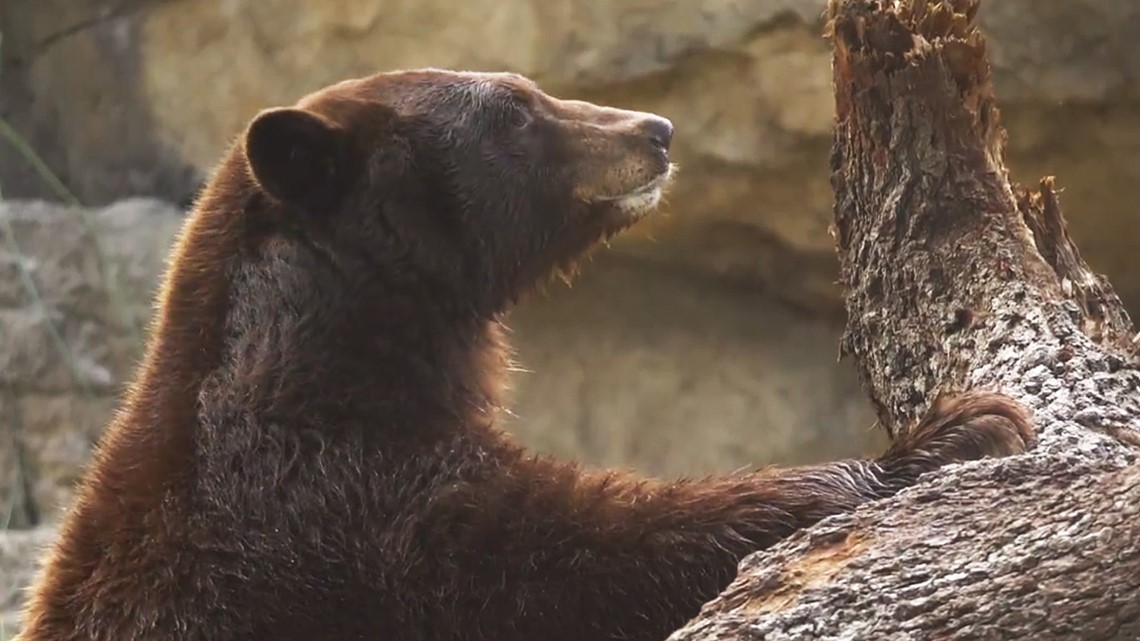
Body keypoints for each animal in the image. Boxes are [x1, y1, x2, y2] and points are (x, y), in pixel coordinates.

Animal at [15, 68, 1035, 638]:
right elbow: (576, 552)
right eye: (512, 111)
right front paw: (960, 428)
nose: (654, 131)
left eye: (523, 88)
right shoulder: (329, 505)